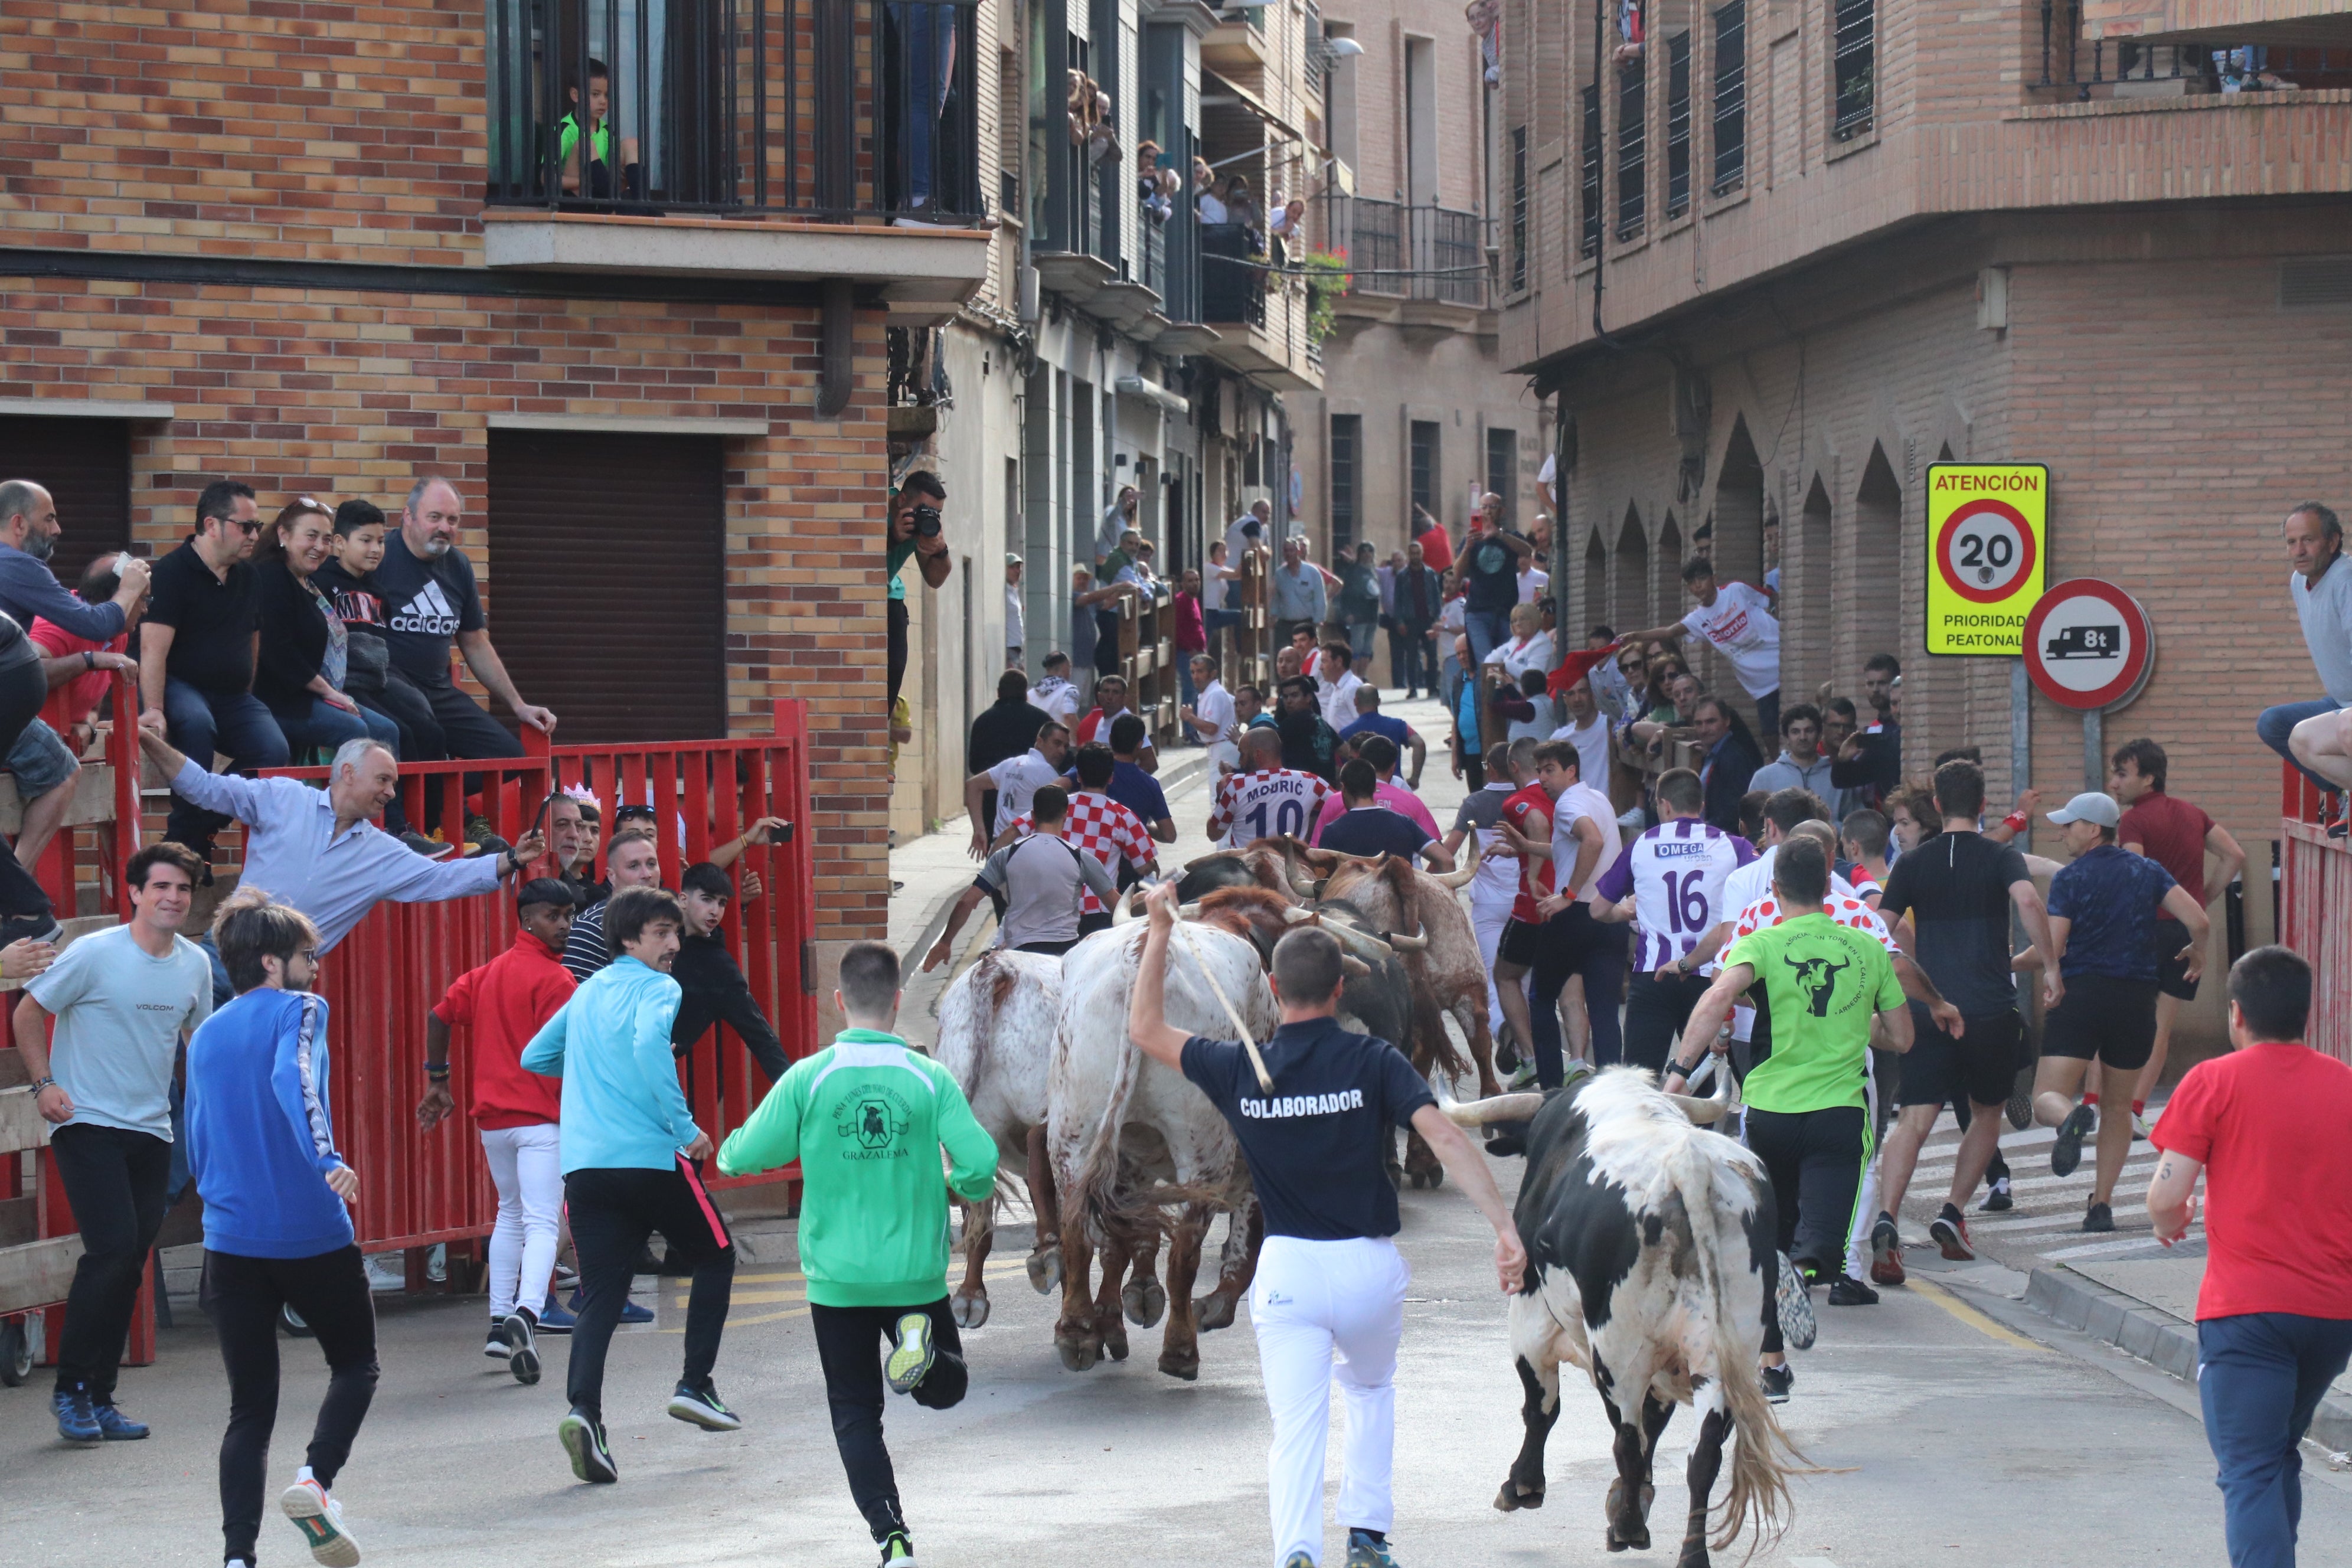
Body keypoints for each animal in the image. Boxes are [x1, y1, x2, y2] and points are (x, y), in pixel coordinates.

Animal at [1439, 1072, 1806, 1561]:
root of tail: (1689, 1165)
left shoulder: (1530, 1318)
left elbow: (1542, 1405)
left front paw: (1523, 1485)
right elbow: (1656, 1423)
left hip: (1620, 1352)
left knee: (1627, 1437)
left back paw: (1628, 1529)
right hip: (1724, 1355)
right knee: (1702, 1453)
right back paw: (1689, 1552)